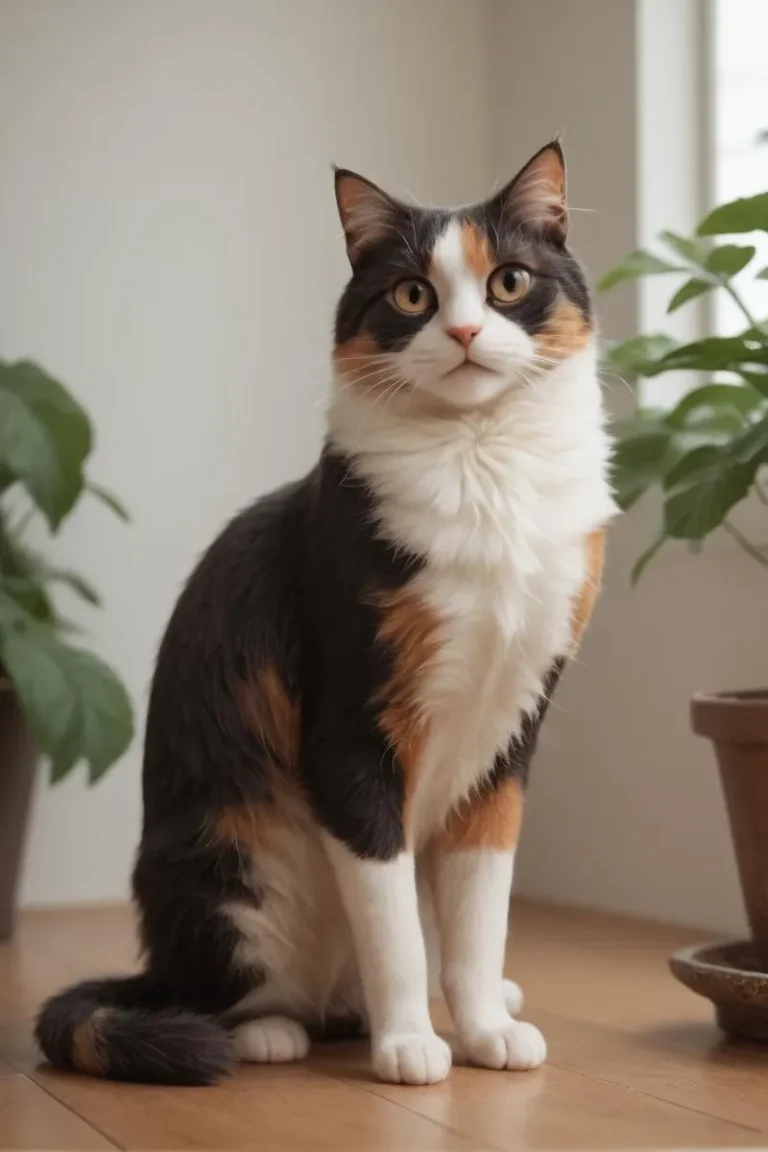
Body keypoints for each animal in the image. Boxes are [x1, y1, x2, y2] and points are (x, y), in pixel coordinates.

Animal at [35, 141, 617, 1087]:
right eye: (412, 294)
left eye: (509, 281)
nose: (463, 332)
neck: (483, 463)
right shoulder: (348, 729)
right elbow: (395, 929)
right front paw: (410, 1044)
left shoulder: (510, 730)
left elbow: (479, 920)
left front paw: (486, 1026)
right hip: (235, 864)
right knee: (230, 996)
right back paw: (277, 1031)